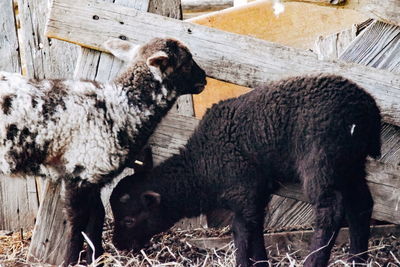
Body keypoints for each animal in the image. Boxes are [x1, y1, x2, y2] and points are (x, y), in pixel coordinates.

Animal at [0, 37, 206, 266]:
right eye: (185, 63)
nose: (204, 78)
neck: (121, 107)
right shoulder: (78, 175)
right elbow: (78, 224)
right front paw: (71, 260)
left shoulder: (94, 176)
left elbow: (96, 219)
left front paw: (95, 257)